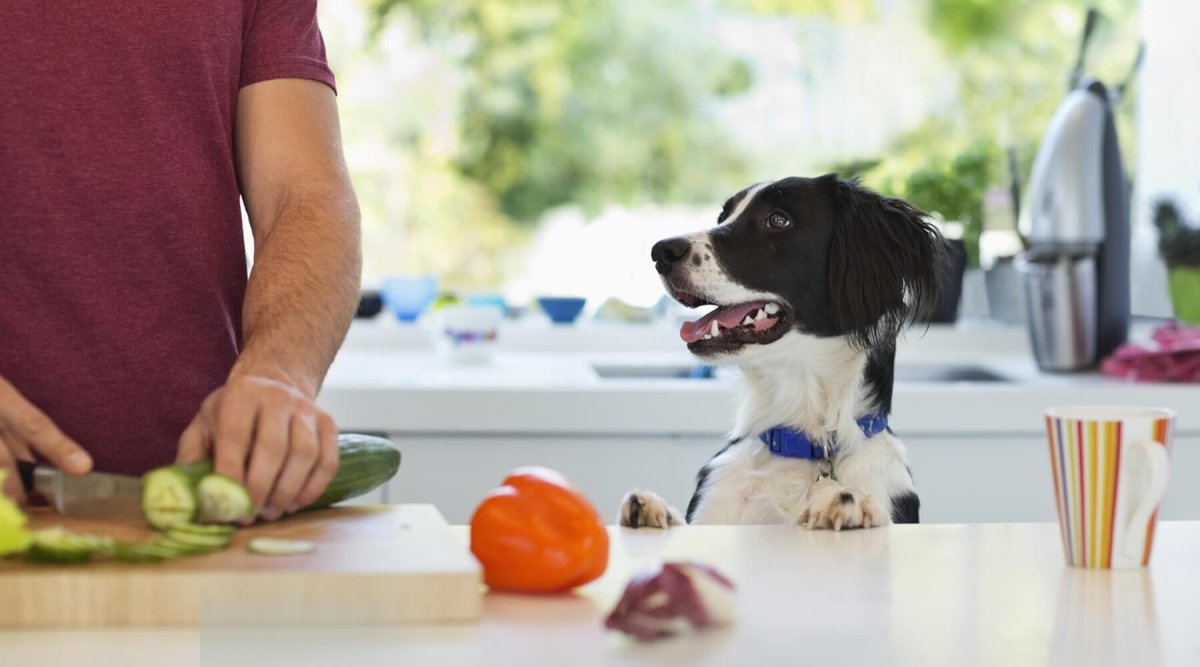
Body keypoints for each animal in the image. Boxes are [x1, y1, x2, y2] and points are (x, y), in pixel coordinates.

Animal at [624, 176, 940, 532]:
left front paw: (850, 505)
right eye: (723, 217)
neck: (805, 443)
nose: (661, 251)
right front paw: (654, 510)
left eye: (778, 220)